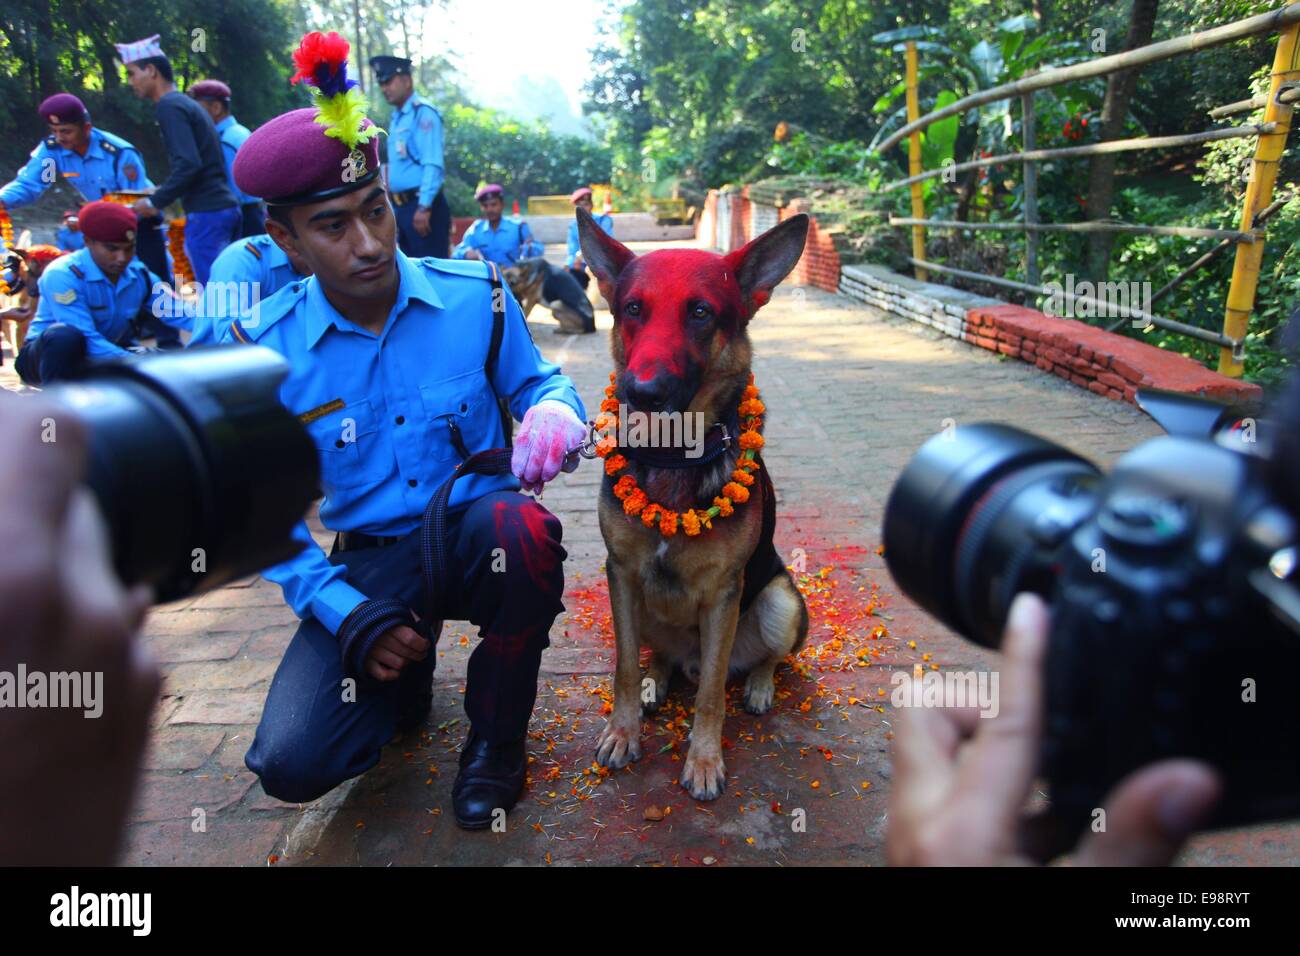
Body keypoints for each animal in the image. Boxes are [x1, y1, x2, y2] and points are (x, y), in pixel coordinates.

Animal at [577, 208, 806, 801]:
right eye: (633, 309)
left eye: (700, 313)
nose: (640, 392)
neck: (673, 454)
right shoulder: (621, 574)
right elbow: (624, 667)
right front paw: (623, 731)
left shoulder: (726, 592)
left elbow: (708, 698)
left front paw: (703, 760)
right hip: (646, 609)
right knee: (661, 657)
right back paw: (658, 680)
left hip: (779, 600)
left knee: (755, 662)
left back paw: (758, 686)